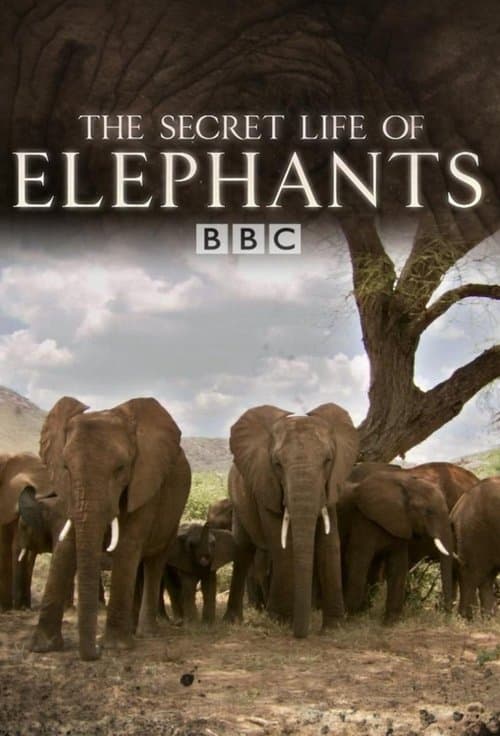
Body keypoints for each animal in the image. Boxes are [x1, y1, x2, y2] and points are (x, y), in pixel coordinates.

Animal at [30, 396, 191, 661]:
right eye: (66, 467)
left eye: (121, 468)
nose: (94, 651)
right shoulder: (67, 490)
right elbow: (66, 544)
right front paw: (42, 647)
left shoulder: (145, 483)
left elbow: (127, 545)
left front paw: (115, 647)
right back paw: (133, 629)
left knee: (154, 562)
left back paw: (146, 633)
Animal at [224, 403, 359, 638]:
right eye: (277, 464)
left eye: (328, 461)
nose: (301, 633)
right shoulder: (266, 485)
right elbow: (282, 545)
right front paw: (281, 620)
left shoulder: (331, 485)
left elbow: (329, 545)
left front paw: (334, 627)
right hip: (238, 500)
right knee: (243, 549)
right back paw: (236, 620)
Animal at [339, 469, 454, 622]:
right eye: (428, 512)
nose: (446, 614)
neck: (406, 485)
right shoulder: (363, 521)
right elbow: (358, 560)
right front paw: (350, 617)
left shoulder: (401, 523)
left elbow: (398, 564)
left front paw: (390, 622)